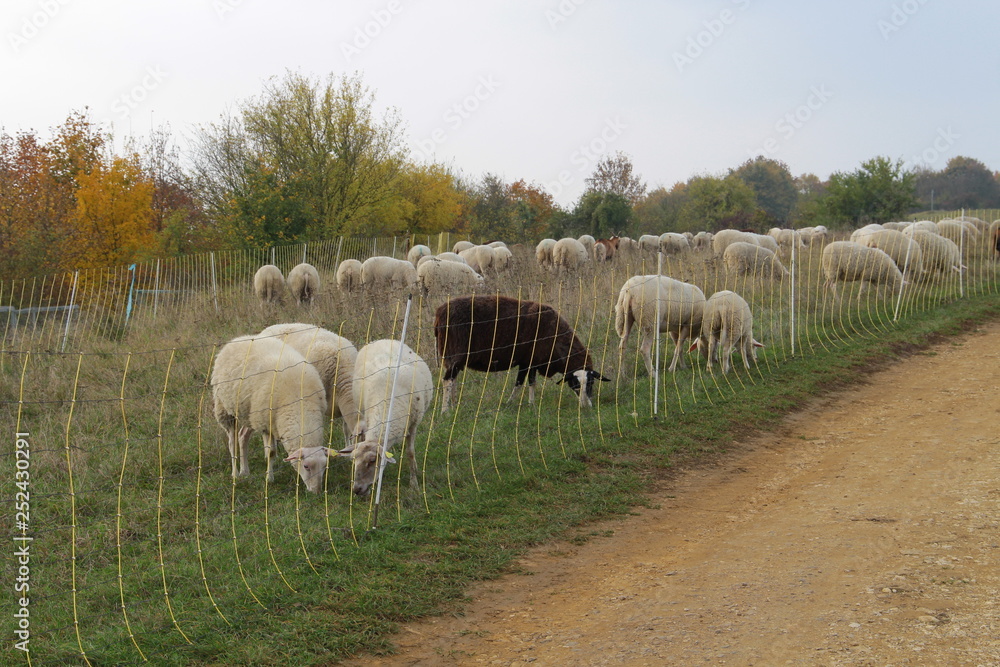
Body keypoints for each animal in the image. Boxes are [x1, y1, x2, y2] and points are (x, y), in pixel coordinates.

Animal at [211, 335, 331, 493]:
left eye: (324, 466)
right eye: (306, 466)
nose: (316, 491)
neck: (299, 404)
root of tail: (238, 339)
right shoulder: (266, 425)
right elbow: (271, 453)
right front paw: (269, 479)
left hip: (250, 413)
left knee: (242, 436)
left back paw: (245, 471)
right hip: (226, 410)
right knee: (232, 442)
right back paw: (235, 473)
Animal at [338, 339, 433, 496]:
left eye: (372, 460)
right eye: (353, 460)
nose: (357, 489)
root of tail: (382, 340)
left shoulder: (413, 424)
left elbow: (410, 453)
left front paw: (414, 484)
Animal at [434, 295, 609, 411]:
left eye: (591, 383)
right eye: (575, 383)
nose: (586, 406)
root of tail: (439, 313)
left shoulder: (526, 362)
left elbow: (521, 382)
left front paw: (511, 402)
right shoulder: (532, 360)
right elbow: (529, 382)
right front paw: (530, 404)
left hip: (456, 358)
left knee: (453, 380)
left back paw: (454, 404)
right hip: (454, 353)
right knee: (447, 380)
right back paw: (445, 411)